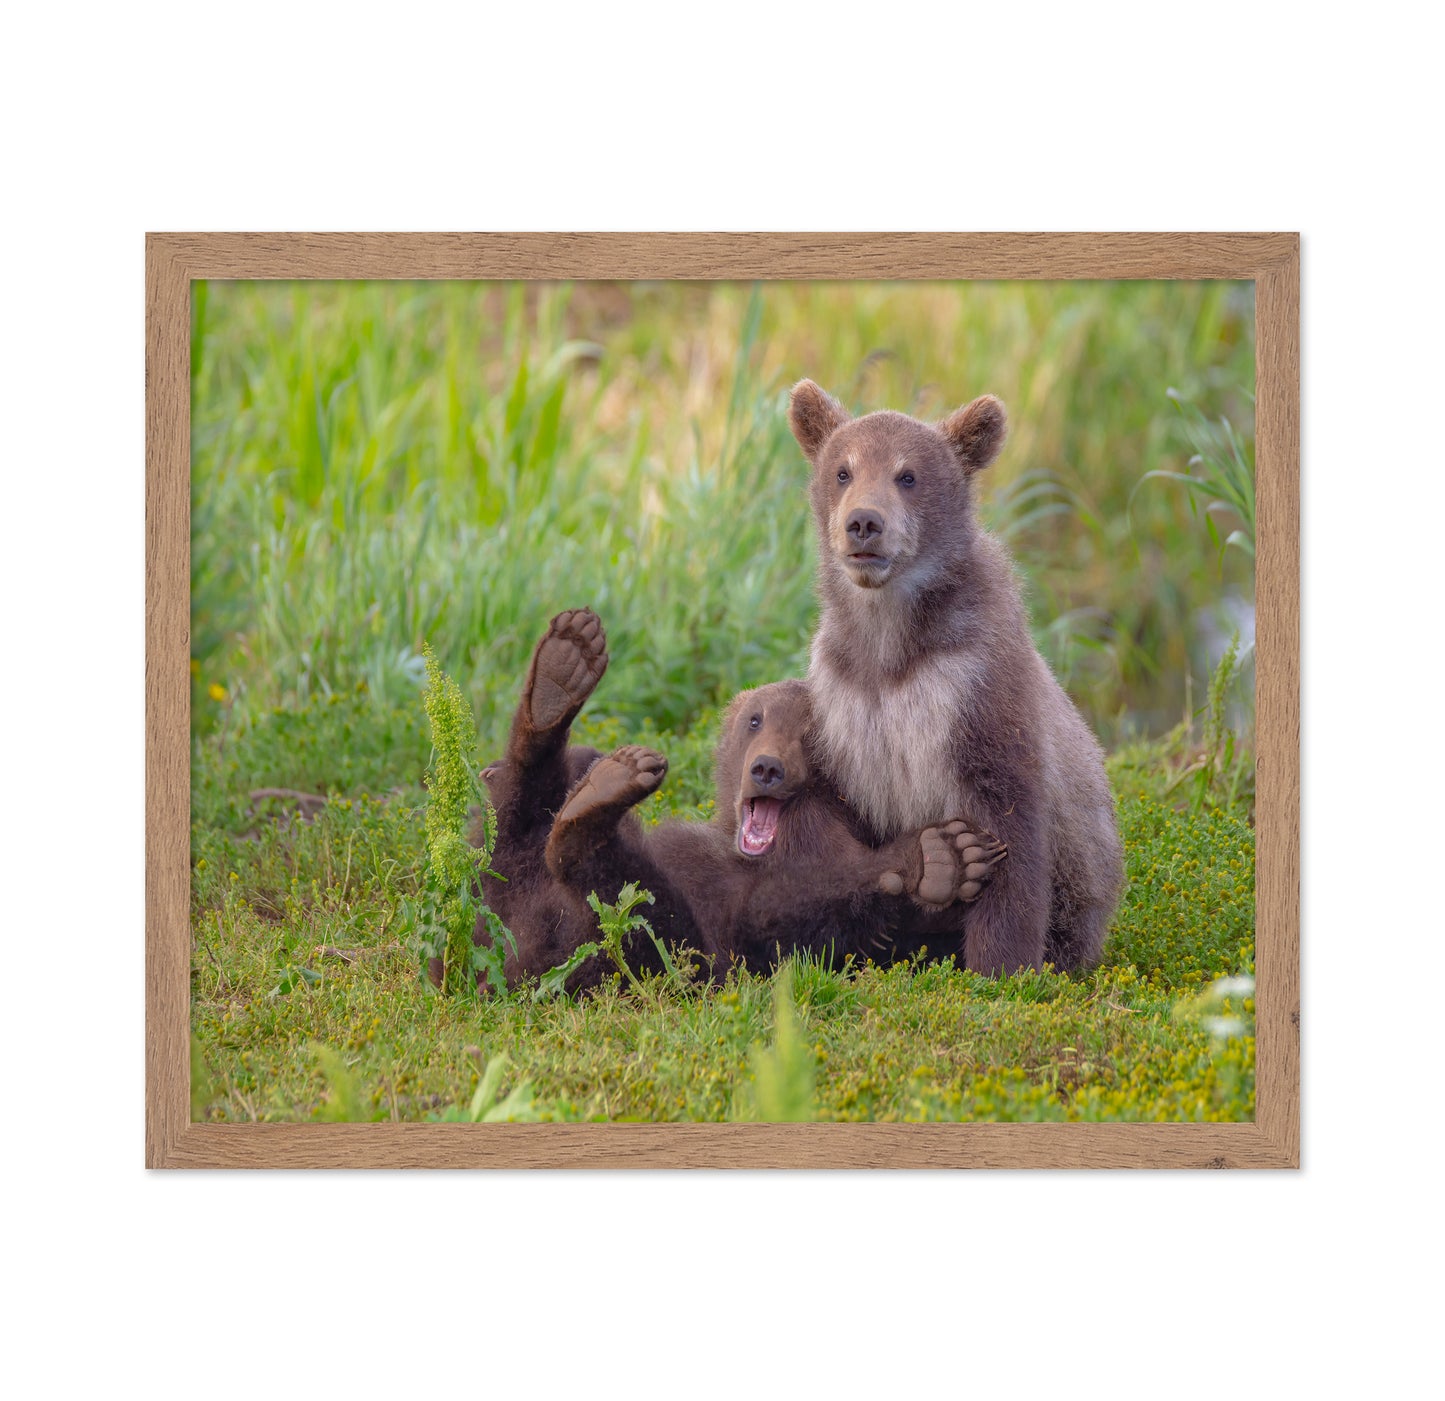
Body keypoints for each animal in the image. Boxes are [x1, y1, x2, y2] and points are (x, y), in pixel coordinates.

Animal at [471, 610, 1006, 987]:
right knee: (513, 819)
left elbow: (784, 922)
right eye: (755, 719)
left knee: (634, 915)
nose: (767, 768)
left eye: (812, 736)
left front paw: (939, 857)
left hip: (608, 952)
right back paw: (563, 671)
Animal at [787, 379, 1124, 975]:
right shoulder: (843, 701)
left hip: (1084, 880)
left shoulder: (970, 685)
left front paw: (1001, 965)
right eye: (843, 470)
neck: (890, 646)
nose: (864, 523)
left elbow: (1008, 822)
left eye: (907, 475)